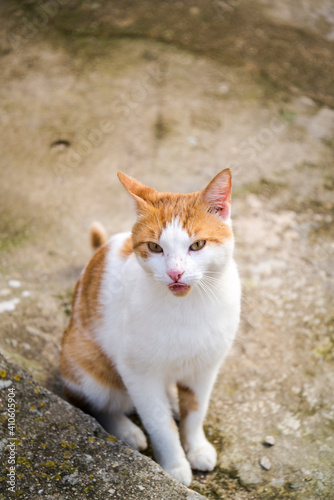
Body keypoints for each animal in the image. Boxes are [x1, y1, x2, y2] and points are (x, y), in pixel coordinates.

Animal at [60, 170, 240, 486]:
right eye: (155, 247)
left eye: (197, 245)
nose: (175, 273)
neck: (187, 307)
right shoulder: (139, 373)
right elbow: (159, 423)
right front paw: (175, 466)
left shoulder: (205, 367)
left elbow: (196, 411)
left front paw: (196, 447)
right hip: (87, 366)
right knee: (98, 404)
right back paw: (127, 431)